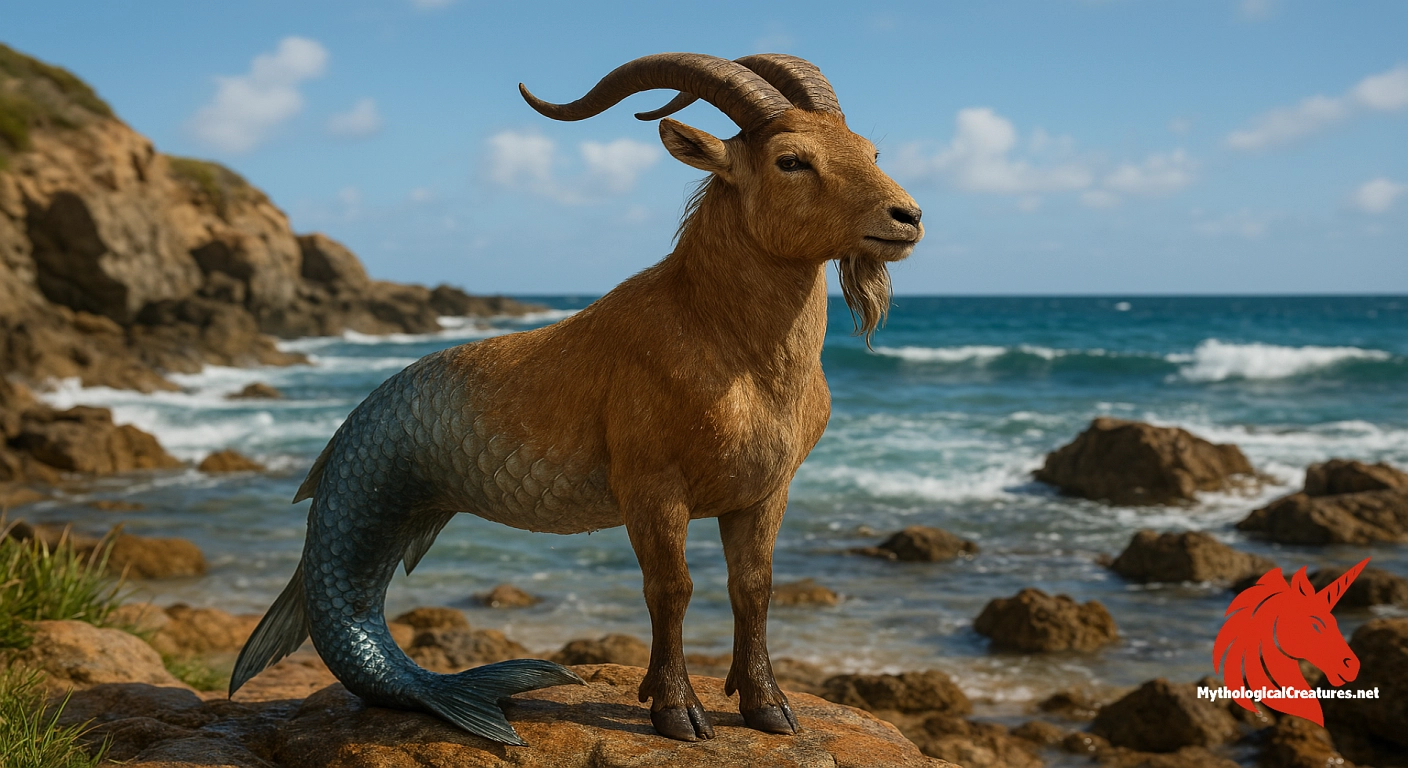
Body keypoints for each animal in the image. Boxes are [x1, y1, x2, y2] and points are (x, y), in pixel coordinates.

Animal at [229, 52, 923, 745]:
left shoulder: (764, 490)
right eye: (791, 160)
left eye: (870, 149)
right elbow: (671, 587)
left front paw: (769, 710)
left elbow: (753, 586)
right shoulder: (651, 484)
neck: (729, 347)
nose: (907, 217)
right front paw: (678, 714)